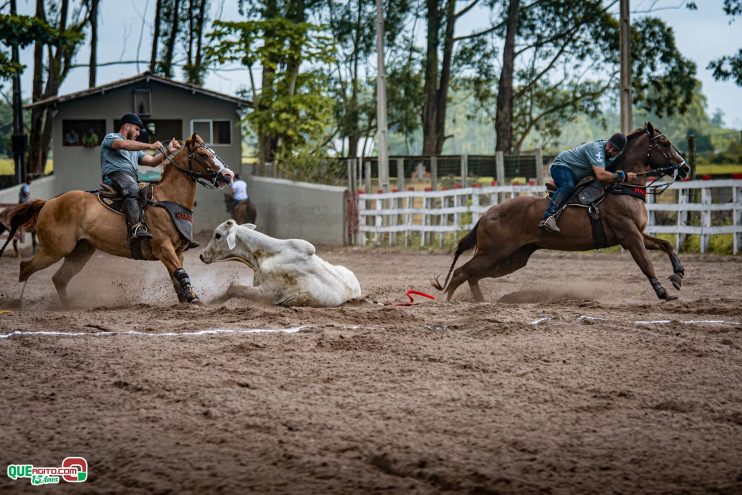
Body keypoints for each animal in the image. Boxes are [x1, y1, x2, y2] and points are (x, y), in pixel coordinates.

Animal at [0, 134, 232, 308]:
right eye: (203, 154)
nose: (228, 175)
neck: (168, 199)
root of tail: (48, 202)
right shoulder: (164, 248)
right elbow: (181, 274)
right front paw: (195, 300)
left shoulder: (177, 252)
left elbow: (177, 278)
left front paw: (185, 301)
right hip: (54, 249)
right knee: (26, 267)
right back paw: (18, 303)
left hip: (79, 253)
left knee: (59, 279)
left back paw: (68, 306)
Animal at [434, 122, 696, 304]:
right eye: (664, 143)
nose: (685, 168)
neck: (622, 187)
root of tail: (487, 214)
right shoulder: (629, 236)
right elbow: (646, 264)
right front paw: (663, 292)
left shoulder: (637, 234)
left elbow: (666, 245)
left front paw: (678, 275)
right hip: (494, 252)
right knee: (461, 272)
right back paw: (445, 302)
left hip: (512, 258)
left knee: (472, 275)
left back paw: (480, 303)